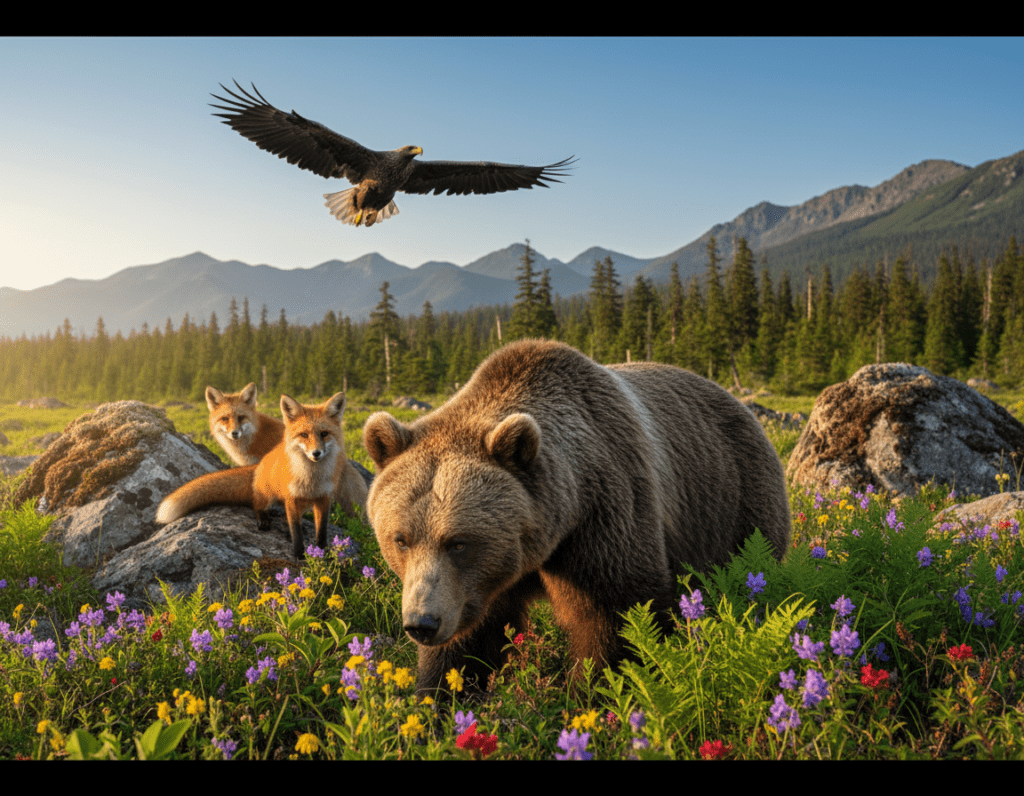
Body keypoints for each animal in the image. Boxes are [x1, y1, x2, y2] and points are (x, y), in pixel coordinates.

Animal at [158, 392, 365, 559]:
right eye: (304, 435)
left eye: (324, 433)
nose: (316, 453)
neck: (311, 481)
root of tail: (261, 464)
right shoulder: (291, 499)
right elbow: (296, 532)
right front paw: (299, 555)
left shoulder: (324, 499)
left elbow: (321, 532)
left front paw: (323, 553)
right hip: (267, 494)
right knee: (256, 503)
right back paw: (264, 517)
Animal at [362, 339, 790, 695]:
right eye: (401, 539)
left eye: (459, 542)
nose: (422, 622)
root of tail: (741, 405)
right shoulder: (475, 589)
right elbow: (468, 643)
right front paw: (439, 699)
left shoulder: (605, 516)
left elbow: (615, 616)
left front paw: (595, 694)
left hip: (734, 506)